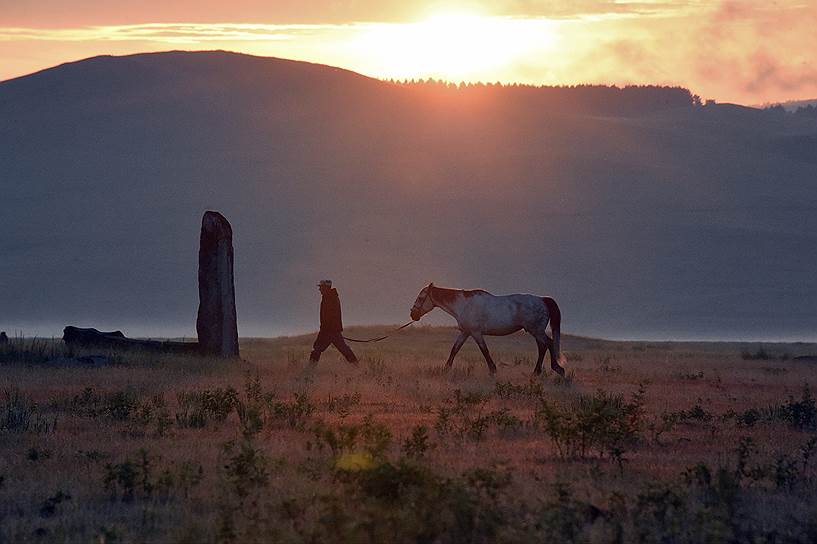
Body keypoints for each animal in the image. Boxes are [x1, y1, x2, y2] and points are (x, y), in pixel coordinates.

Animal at [412, 282, 564, 376]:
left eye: (420, 297)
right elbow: (455, 349)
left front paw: (493, 370)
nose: (413, 314)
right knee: (543, 346)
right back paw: (538, 372)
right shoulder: (465, 332)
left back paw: (556, 369)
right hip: (536, 331)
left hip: (536, 330)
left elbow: (484, 350)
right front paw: (445, 369)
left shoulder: (476, 333)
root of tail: (543, 300)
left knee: (548, 344)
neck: (463, 304)